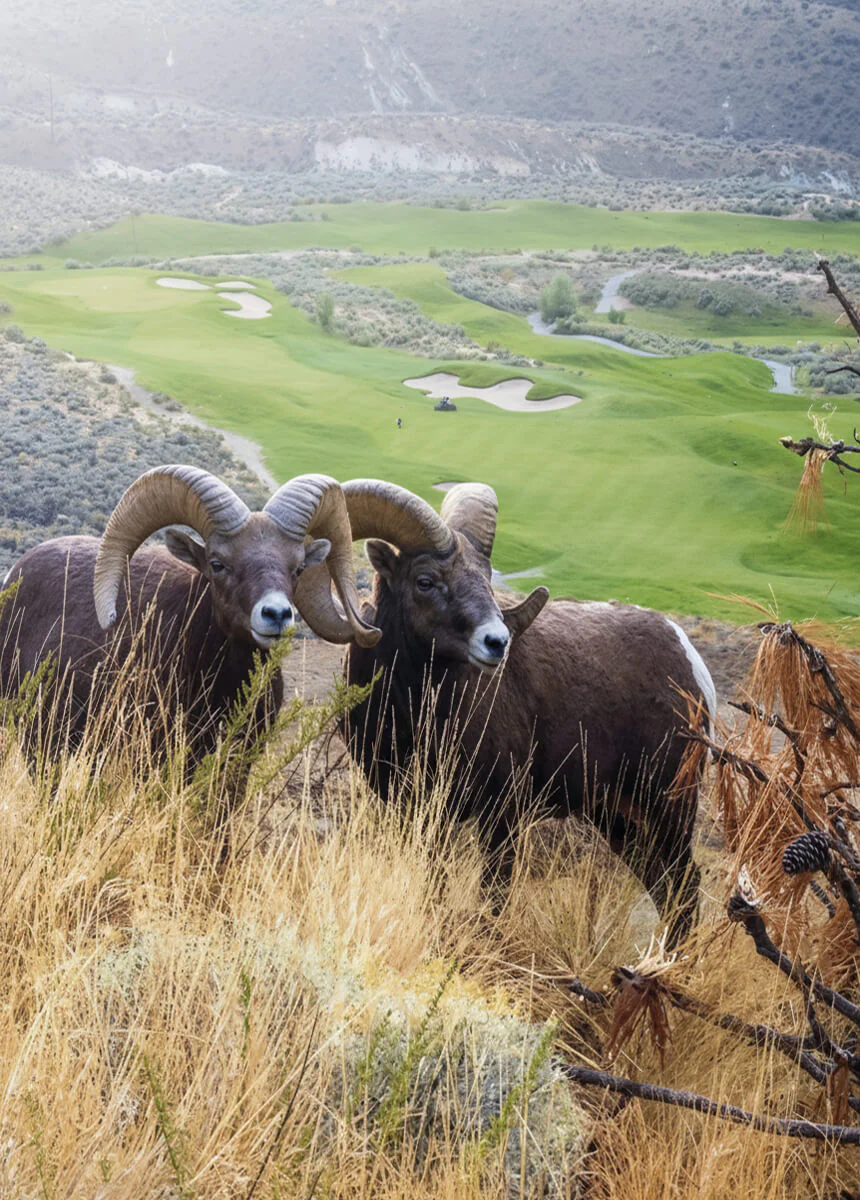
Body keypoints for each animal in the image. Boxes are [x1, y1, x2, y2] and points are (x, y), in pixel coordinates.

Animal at [323, 479, 716, 939]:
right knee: (664, 886)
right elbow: (434, 882)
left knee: (684, 886)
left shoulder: (502, 814)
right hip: (619, 820)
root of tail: (690, 661)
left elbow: (494, 896)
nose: (497, 642)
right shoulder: (413, 811)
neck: (416, 715)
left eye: (486, 577)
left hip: (667, 808)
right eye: (425, 581)